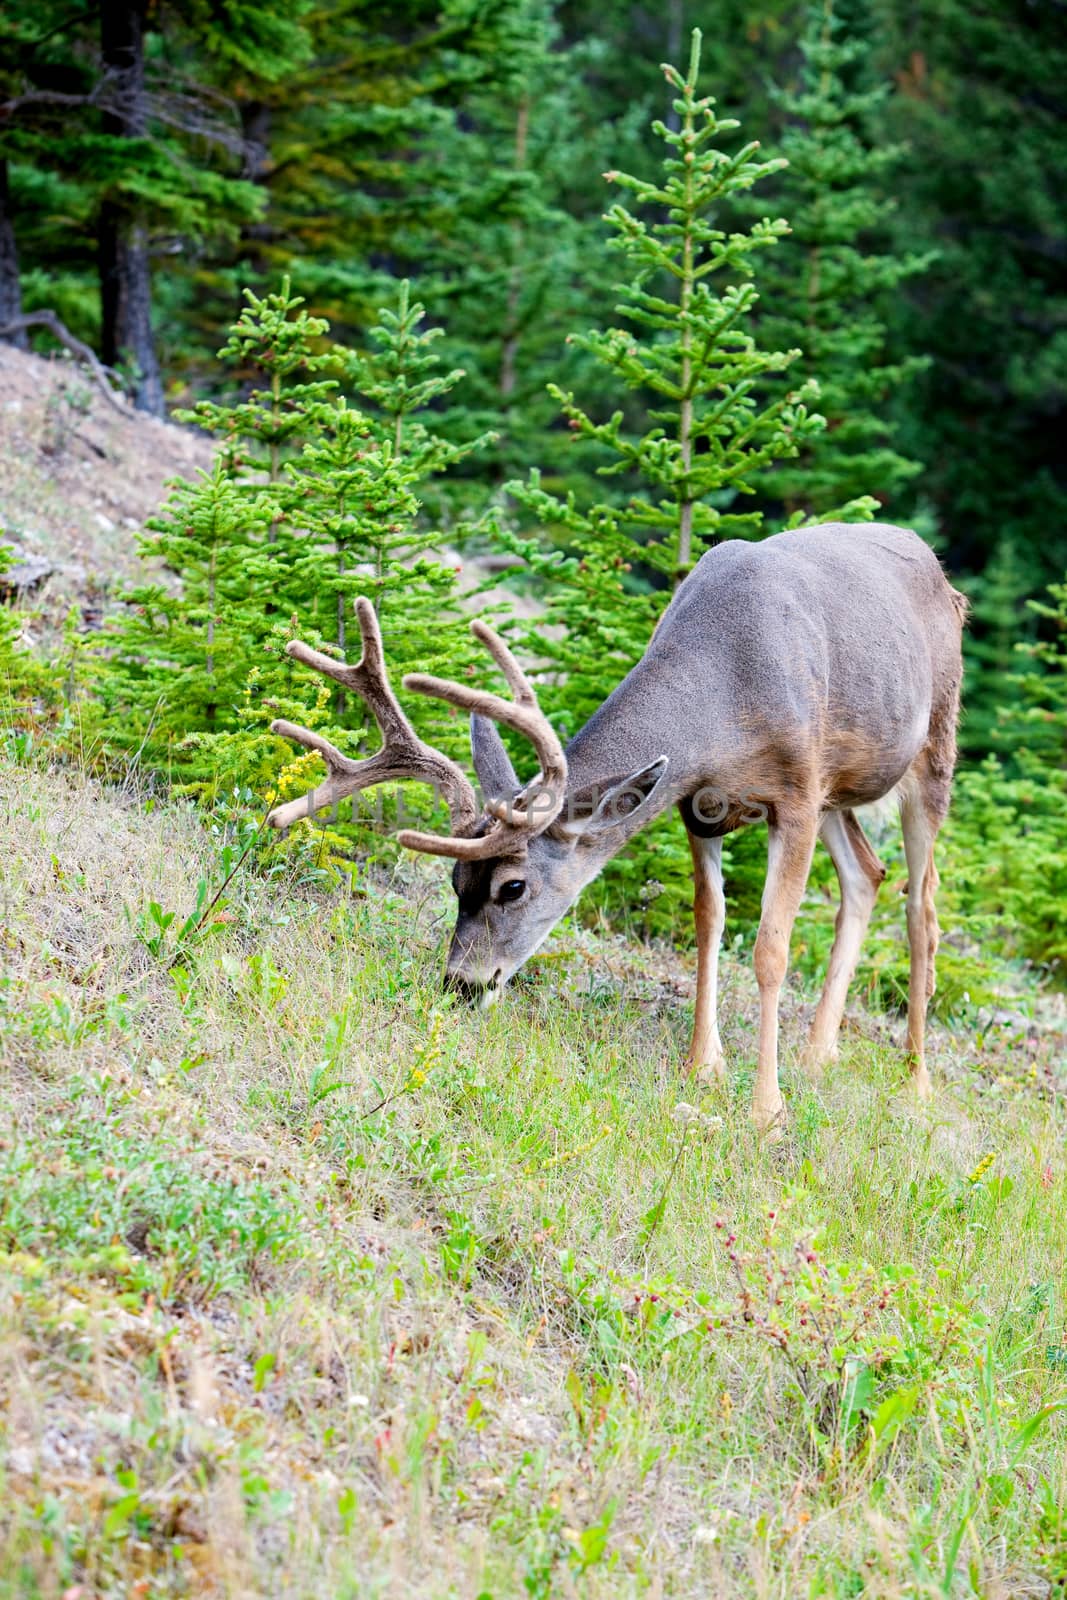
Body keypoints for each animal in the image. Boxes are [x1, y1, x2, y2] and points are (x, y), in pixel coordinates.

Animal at [268, 518, 966, 1132]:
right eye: (455, 882)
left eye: (513, 886)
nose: (461, 986)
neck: (724, 699)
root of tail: (939, 569)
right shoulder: (699, 803)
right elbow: (707, 922)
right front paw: (702, 1067)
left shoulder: (796, 790)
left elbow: (770, 948)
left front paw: (766, 1112)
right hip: (840, 788)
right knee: (867, 873)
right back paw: (819, 1054)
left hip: (933, 747)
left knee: (923, 908)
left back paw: (916, 1081)